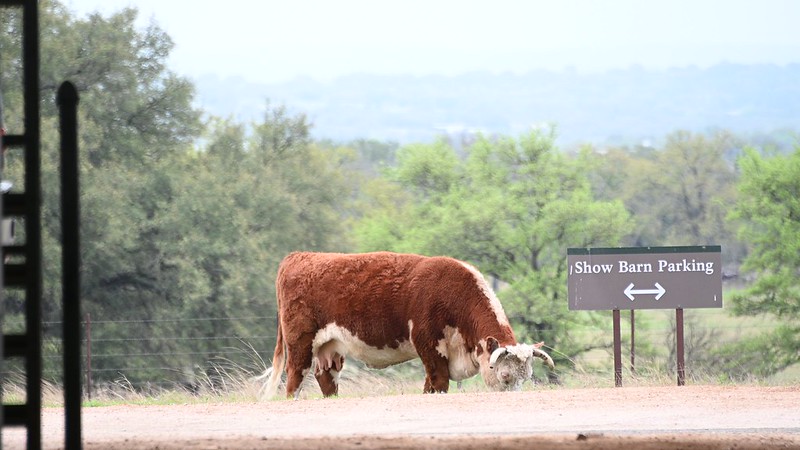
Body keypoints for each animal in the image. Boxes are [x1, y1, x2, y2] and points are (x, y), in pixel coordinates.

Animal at [261, 251, 554, 399]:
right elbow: (438, 382)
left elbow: (430, 384)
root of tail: (299, 255)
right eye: (504, 375)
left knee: (326, 376)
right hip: (300, 341)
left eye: (526, 376)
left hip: (331, 347)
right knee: (295, 376)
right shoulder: (428, 343)